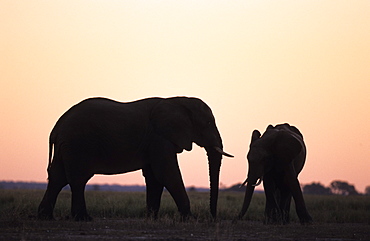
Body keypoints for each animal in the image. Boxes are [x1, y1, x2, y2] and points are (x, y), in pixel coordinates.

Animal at [38, 96, 234, 220]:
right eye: (208, 123)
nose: (212, 217)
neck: (179, 101)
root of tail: (56, 128)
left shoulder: (153, 142)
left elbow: (154, 177)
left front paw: (151, 218)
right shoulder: (159, 139)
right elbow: (167, 173)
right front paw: (190, 218)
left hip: (66, 147)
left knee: (57, 178)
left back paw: (45, 217)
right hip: (77, 145)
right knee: (77, 179)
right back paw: (83, 219)